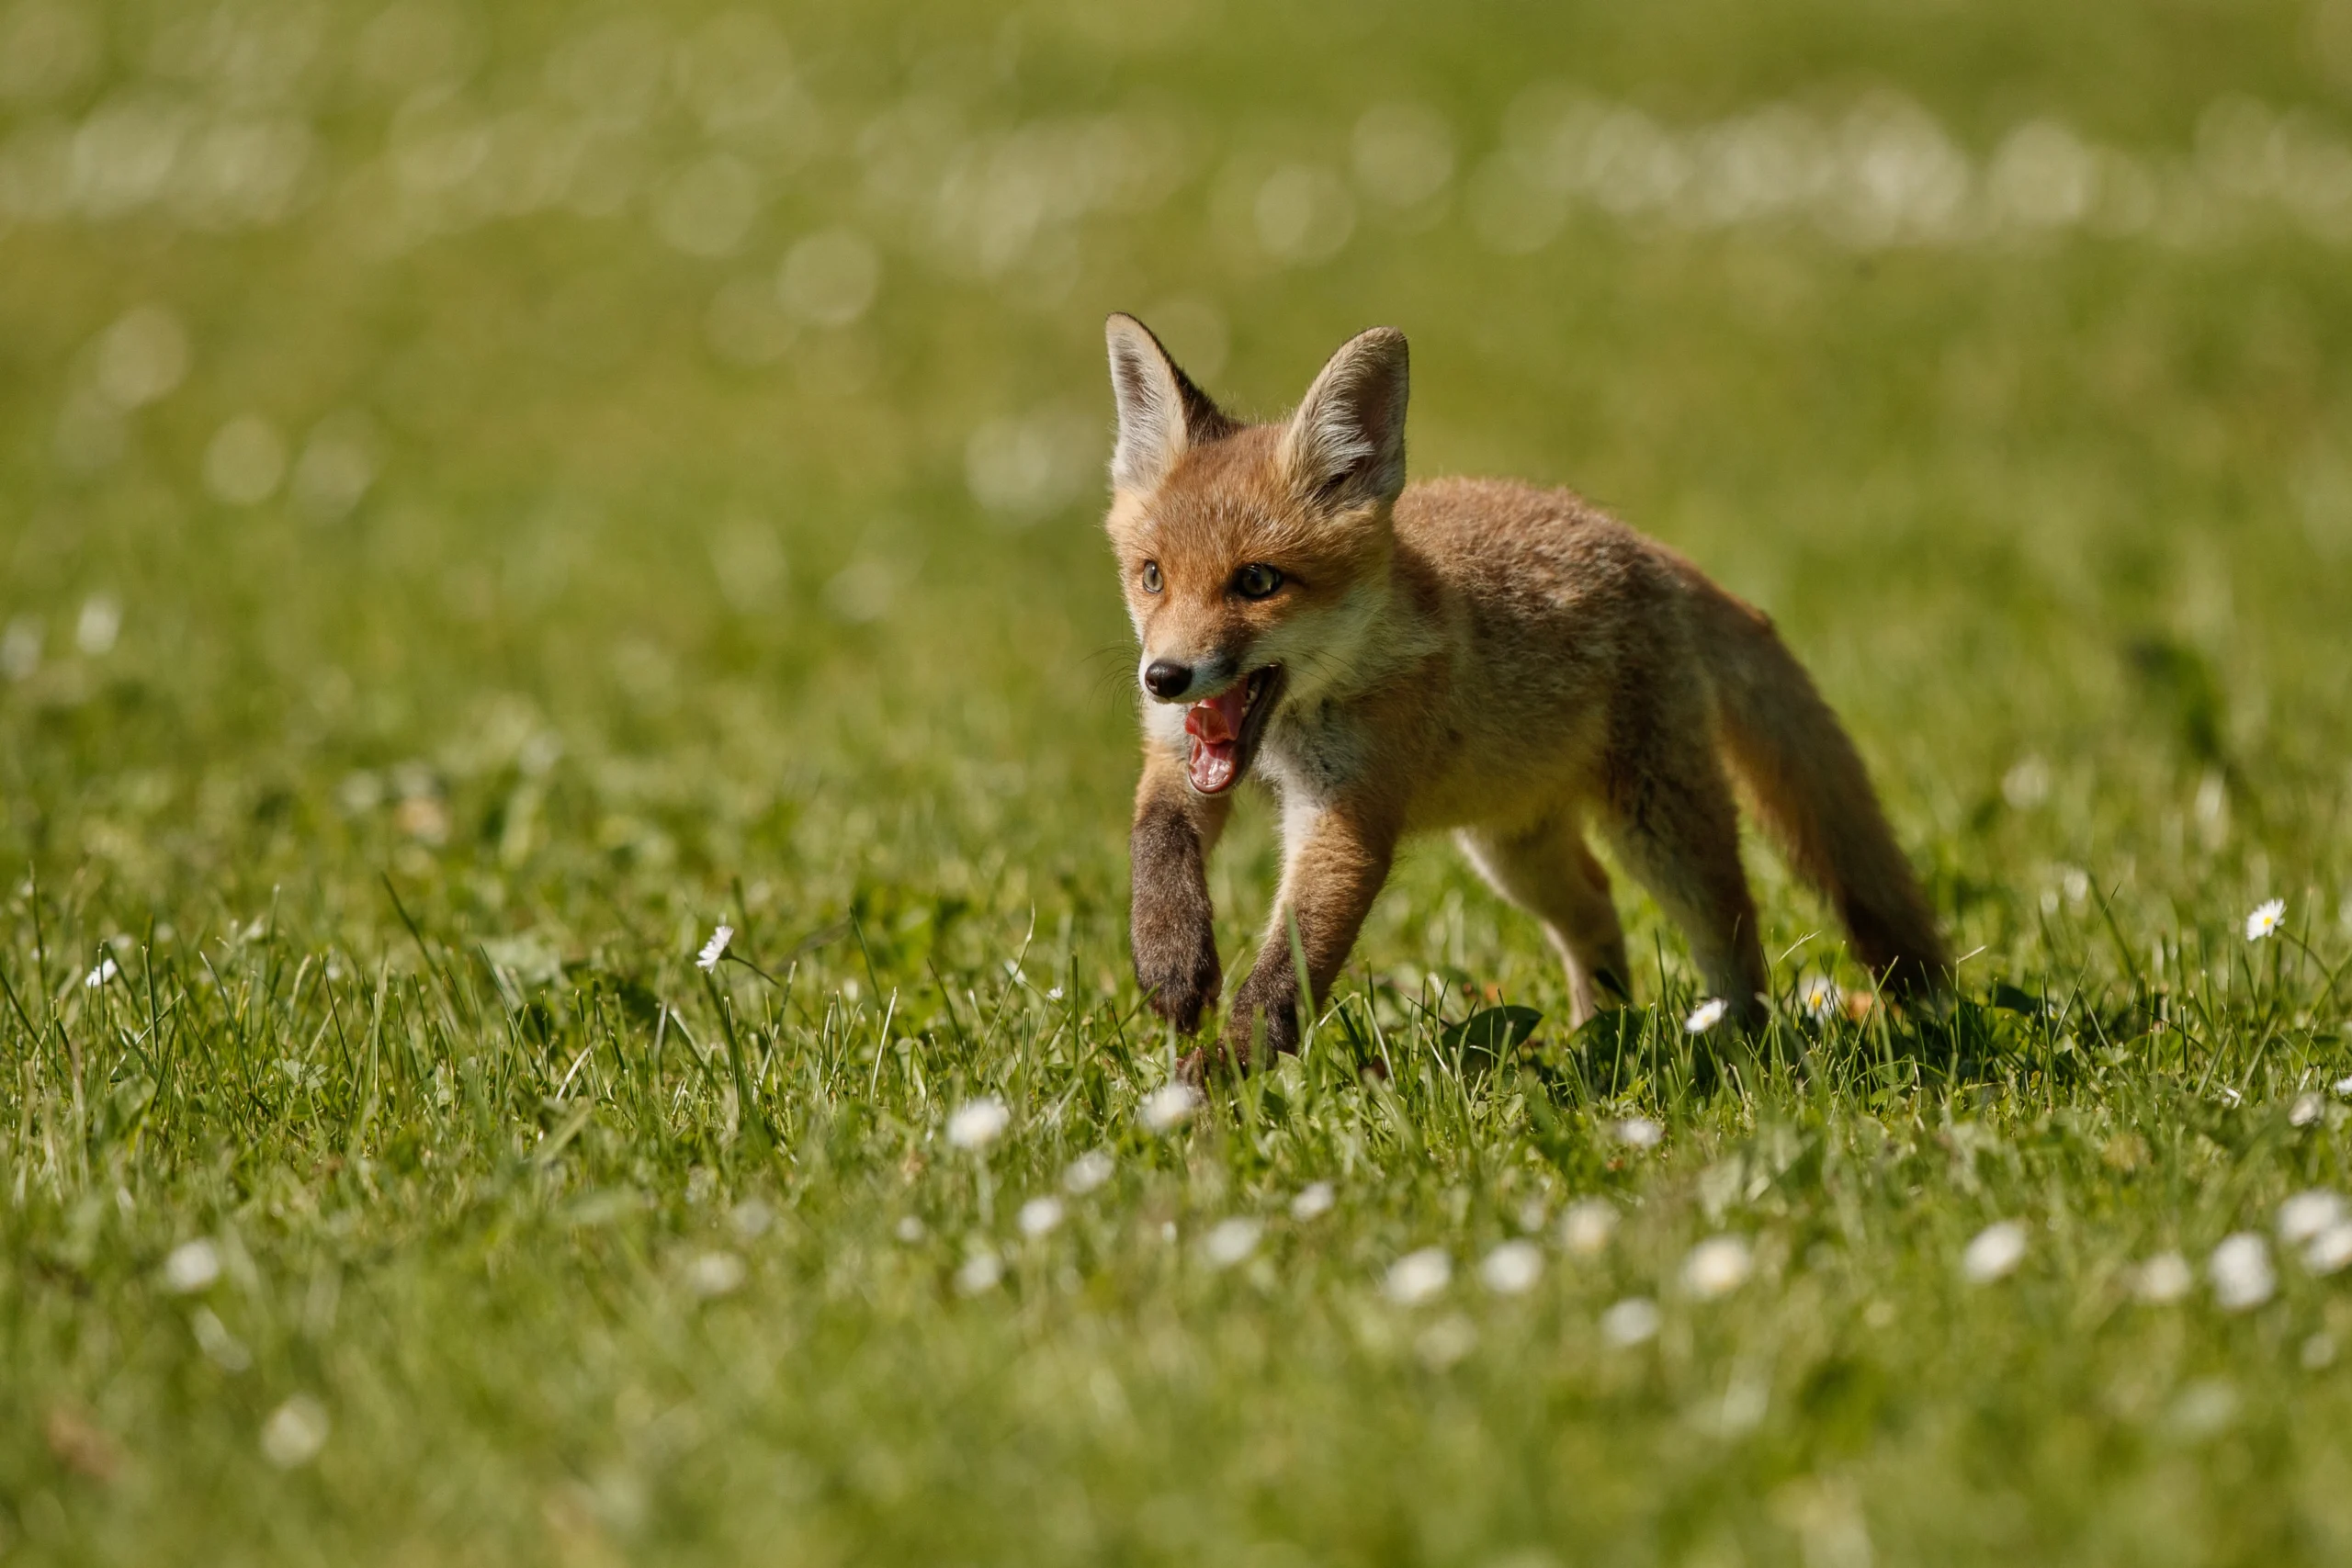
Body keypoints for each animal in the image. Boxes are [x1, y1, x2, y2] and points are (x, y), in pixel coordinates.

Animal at [1101, 317, 1947, 1081]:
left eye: (1257, 581)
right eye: (1153, 576)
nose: (1164, 676)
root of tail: (1641, 545)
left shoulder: (1347, 817)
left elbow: (1287, 968)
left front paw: (1216, 1081)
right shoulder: (1177, 751)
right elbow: (1156, 837)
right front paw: (1171, 959)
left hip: (1657, 824)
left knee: (1733, 928)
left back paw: (1735, 1040)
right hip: (1514, 849)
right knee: (1597, 906)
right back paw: (1599, 1035)